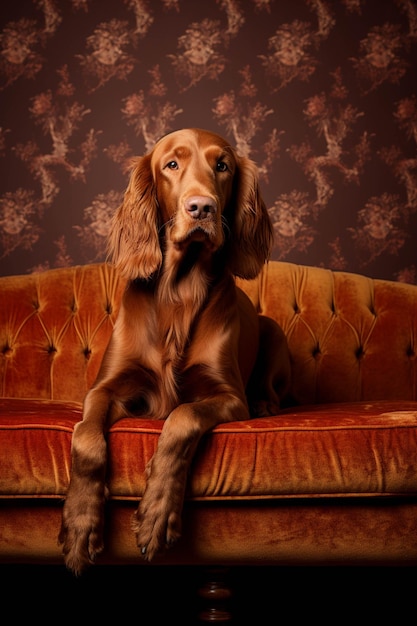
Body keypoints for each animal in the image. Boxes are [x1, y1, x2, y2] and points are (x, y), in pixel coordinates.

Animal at [58, 128, 290, 576]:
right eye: (171, 164)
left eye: (223, 166)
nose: (201, 207)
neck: (179, 290)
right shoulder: (106, 389)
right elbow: (86, 439)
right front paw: (79, 527)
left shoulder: (229, 397)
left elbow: (182, 418)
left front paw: (156, 515)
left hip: (275, 333)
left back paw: (268, 404)